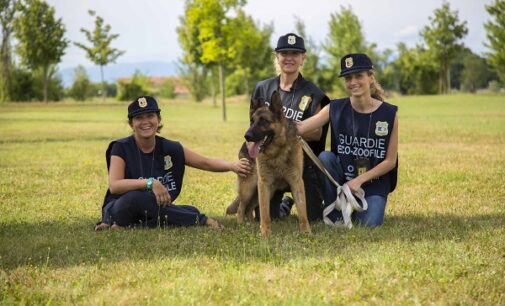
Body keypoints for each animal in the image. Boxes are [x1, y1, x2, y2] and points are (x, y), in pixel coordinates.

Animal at [226, 90, 310, 234]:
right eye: (251, 121)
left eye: (264, 121)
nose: (247, 136)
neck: (277, 153)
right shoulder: (264, 184)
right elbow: (265, 212)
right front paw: (265, 233)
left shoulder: (296, 182)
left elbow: (302, 210)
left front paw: (306, 232)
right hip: (249, 188)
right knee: (241, 208)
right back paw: (242, 225)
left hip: (262, 191)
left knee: (249, 208)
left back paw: (252, 224)